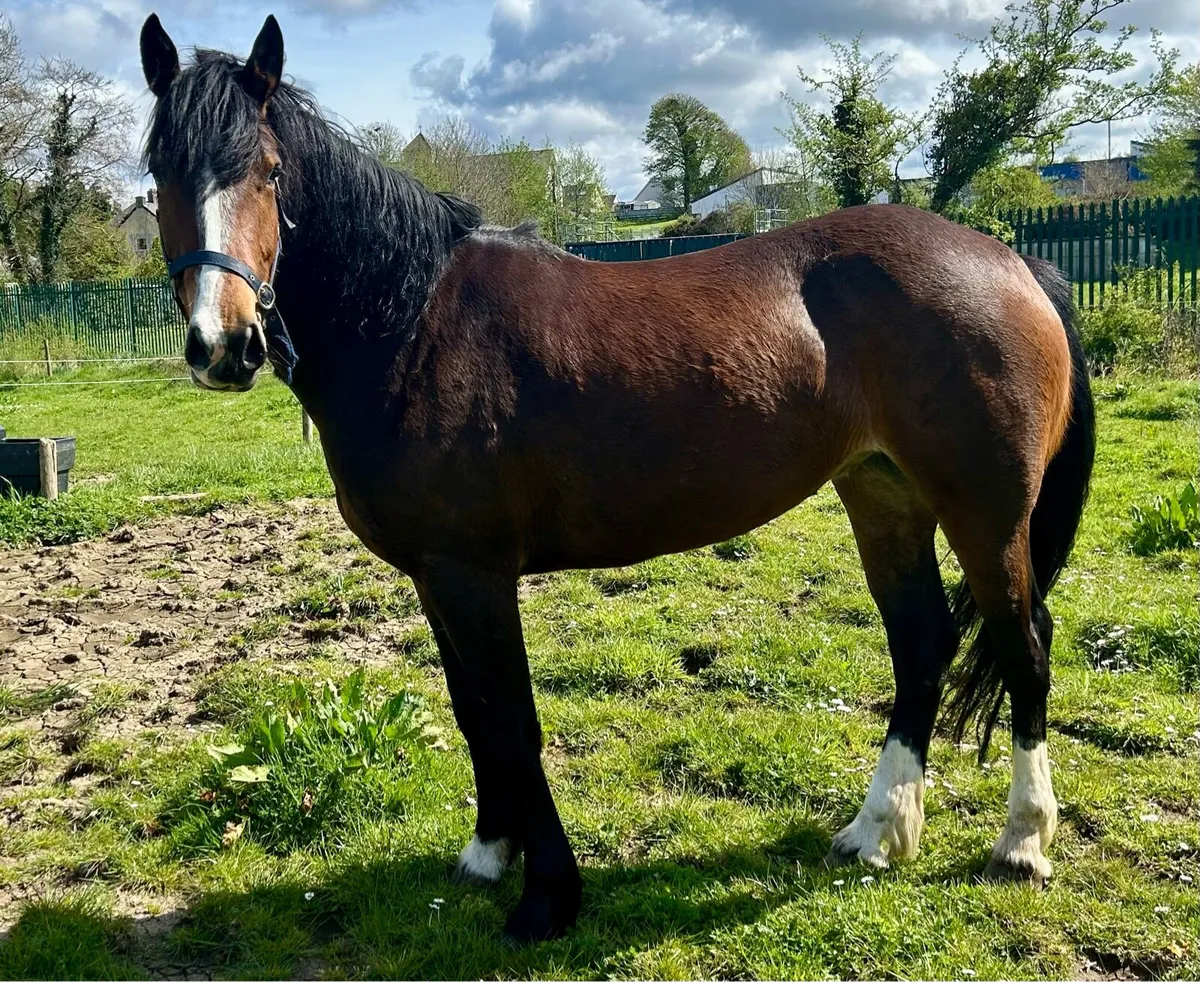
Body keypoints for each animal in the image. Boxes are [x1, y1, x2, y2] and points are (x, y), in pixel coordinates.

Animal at [138, 13, 1095, 943]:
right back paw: (877, 831)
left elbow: (512, 720)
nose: (224, 346)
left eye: (268, 173)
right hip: (883, 495)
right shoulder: (435, 578)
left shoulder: (475, 577)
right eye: (159, 176)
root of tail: (1013, 264)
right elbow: (472, 712)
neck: (413, 322)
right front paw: (488, 854)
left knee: (1024, 643)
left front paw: (547, 897)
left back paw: (1021, 842)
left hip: (986, 514)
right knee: (922, 642)